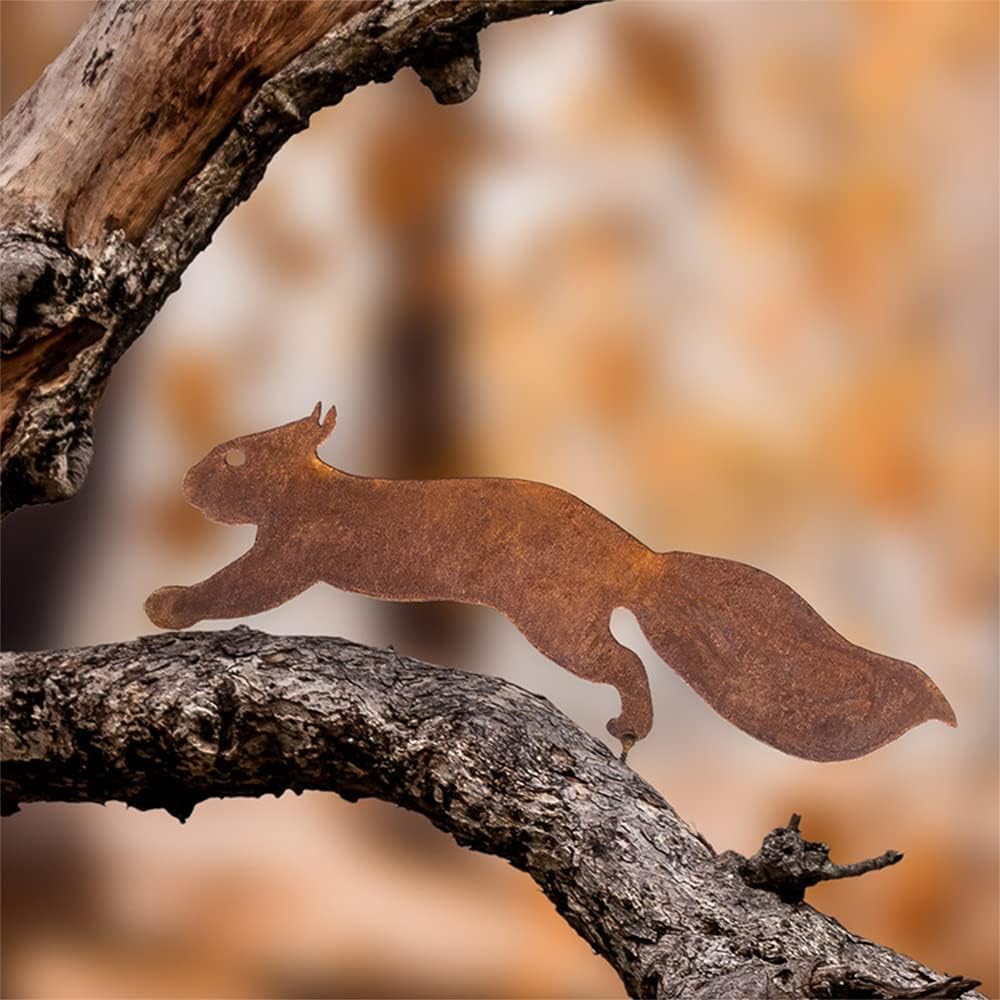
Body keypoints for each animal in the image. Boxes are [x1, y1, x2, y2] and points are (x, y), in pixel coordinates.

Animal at [145, 403, 956, 761]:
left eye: (234, 458)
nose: (185, 481)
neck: (314, 486)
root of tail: (639, 557)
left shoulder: (290, 552)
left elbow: (235, 587)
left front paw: (167, 603)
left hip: (554, 620)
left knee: (624, 661)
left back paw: (628, 728)